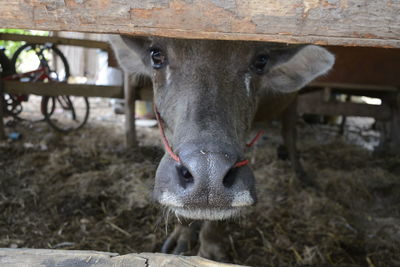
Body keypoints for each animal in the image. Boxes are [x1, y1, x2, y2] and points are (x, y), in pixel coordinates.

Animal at [109, 35, 334, 262]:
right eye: (156, 55)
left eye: (261, 62)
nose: (208, 173)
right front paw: (182, 236)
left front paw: (211, 251)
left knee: (290, 133)